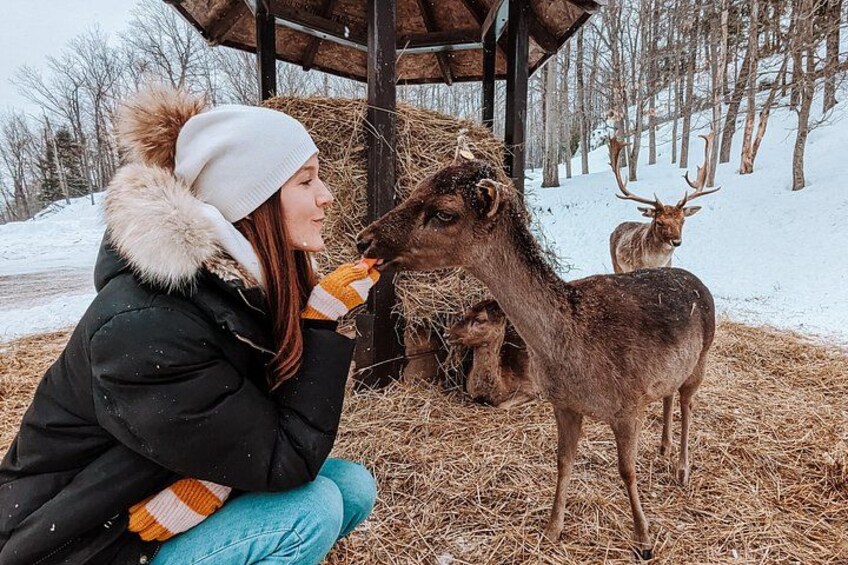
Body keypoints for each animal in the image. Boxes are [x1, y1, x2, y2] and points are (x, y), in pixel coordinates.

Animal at [357, 157, 716, 560]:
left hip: (702, 359)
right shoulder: (562, 402)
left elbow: (627, 470)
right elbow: (563, 461)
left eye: (444, 212)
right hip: (672, 371)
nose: (364, 239)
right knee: (669, 395)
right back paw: (664, 448)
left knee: (687, 404)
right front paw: (552, 530)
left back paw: (682, 469)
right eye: (417, 188)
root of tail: (697, 280)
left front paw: (643, 540)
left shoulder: (628, 405)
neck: (573, 350)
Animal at [609, 132, 720, 274]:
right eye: (659, 222)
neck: (655, 263)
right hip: (616, 264)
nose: (677, 241)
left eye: (683, 220)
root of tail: (616, 229)